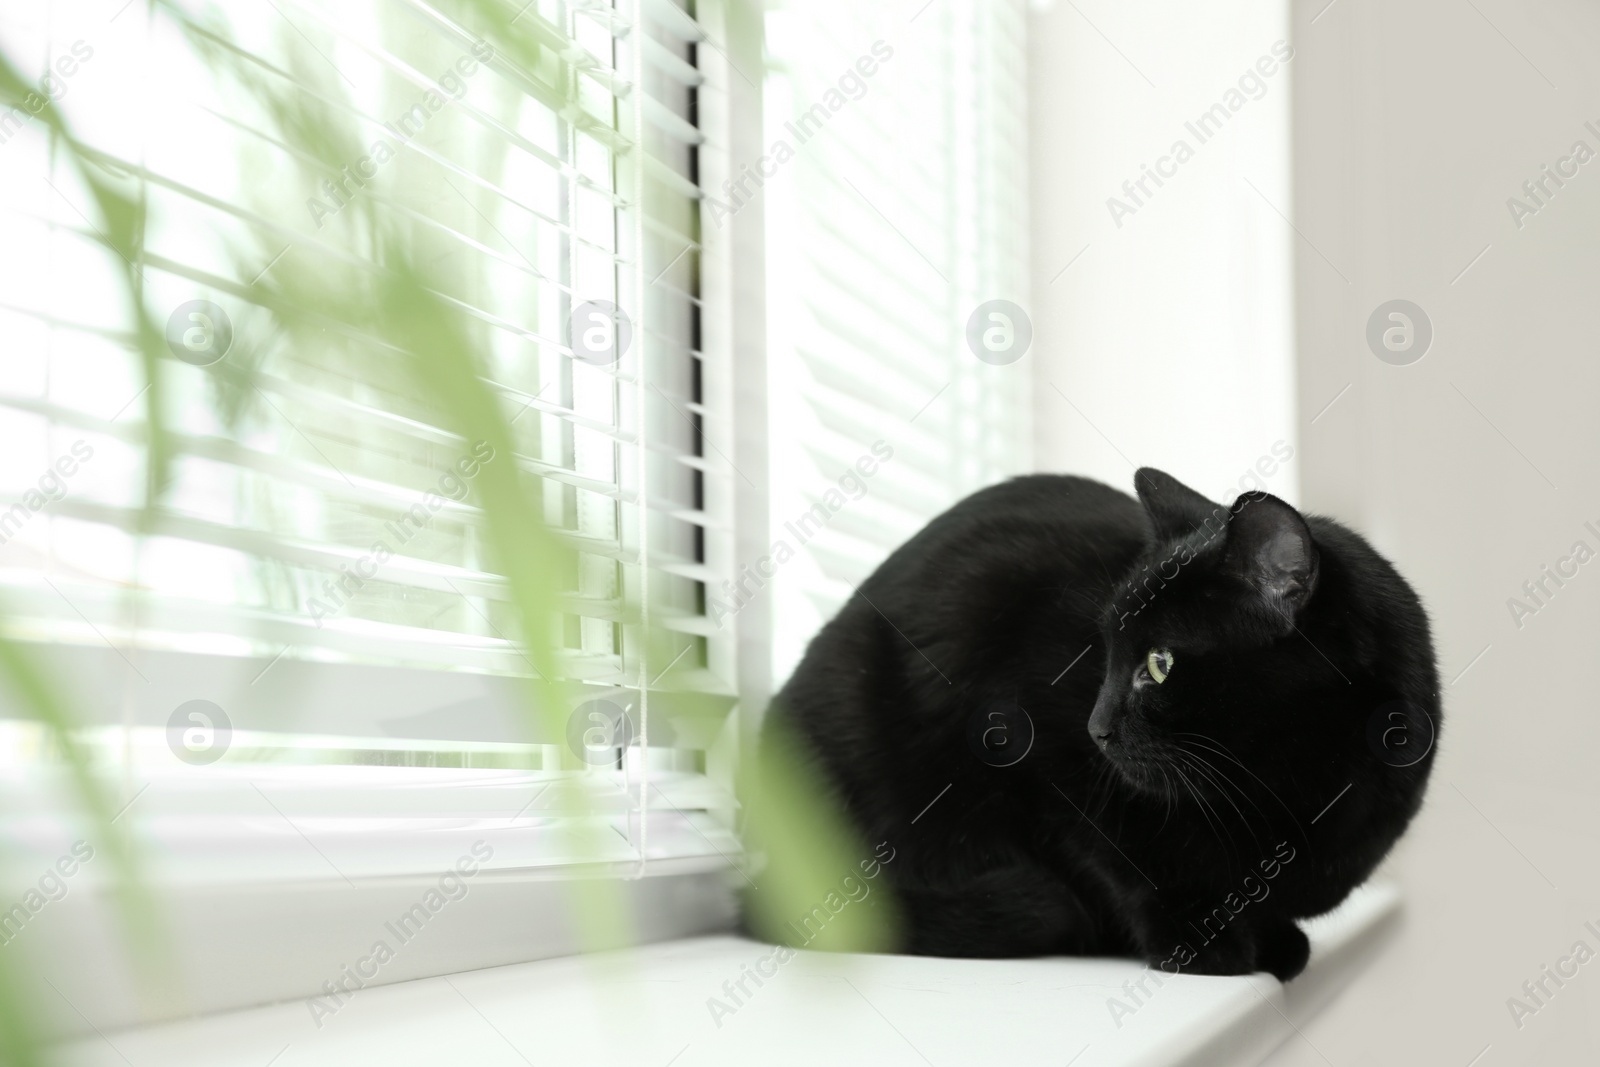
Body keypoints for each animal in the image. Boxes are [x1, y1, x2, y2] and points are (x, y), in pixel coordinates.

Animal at [755, 470, 1446, 979]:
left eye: (1159, 665)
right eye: (1105, 655)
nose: (1096, 727)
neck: (1283, 787)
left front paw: (1273, 939)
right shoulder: (1037, 753)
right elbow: (1122, 861)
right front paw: (1197, 940)